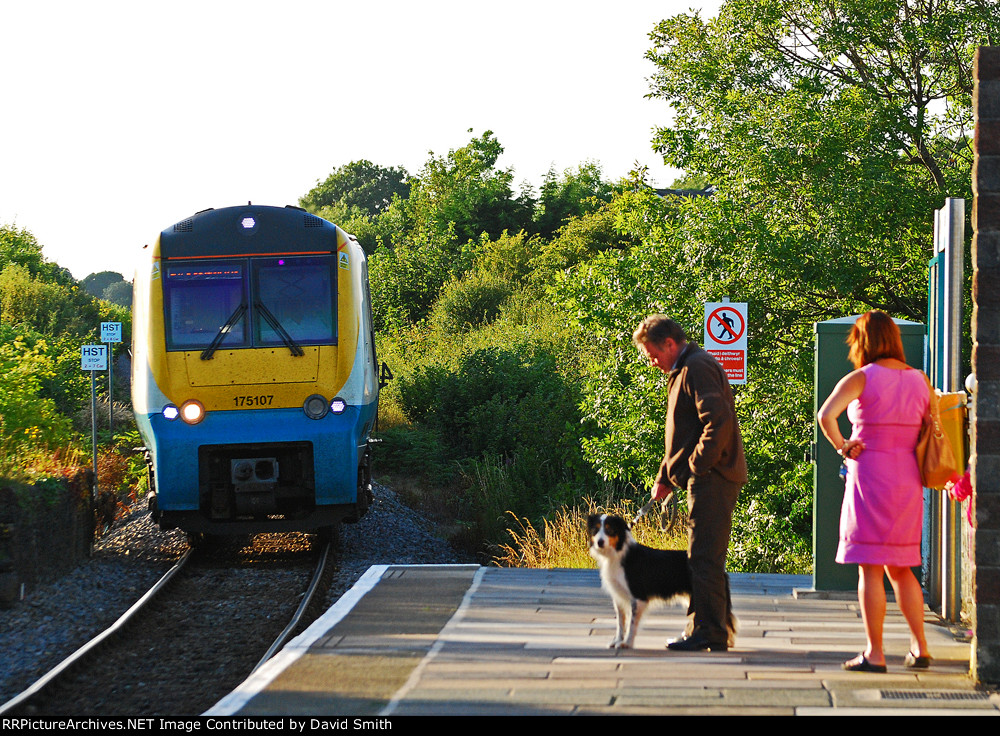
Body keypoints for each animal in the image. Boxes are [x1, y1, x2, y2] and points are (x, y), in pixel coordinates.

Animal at [587, 513, 736, 649]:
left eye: (610, 530)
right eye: (595, 529)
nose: (600, 542)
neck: (618, 553)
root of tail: (721, 569)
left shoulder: (638, 597)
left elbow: (632, 624)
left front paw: (626, 644)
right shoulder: (618, 597)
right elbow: (621, 623)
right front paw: (617, 641)